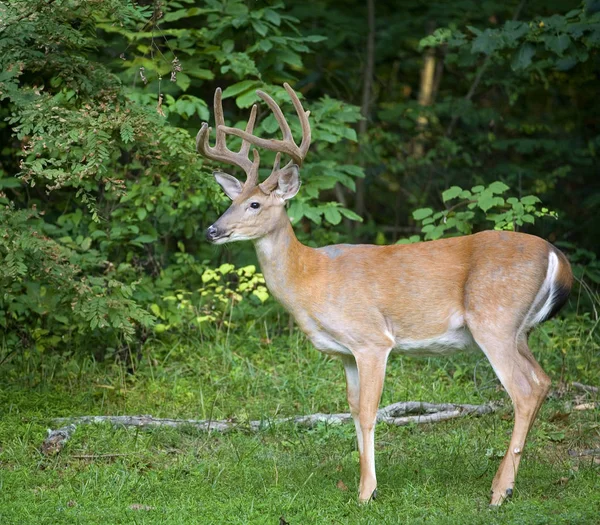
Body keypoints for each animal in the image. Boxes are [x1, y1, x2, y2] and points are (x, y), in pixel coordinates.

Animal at [197, 84, 572, 506]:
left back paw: (499, 491)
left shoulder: (372, 339)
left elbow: (368, 412)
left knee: (523, 390)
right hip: (519, 329)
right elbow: (352, 408)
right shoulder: (345, 353)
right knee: (543, 381)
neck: (310, 278)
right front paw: (364, 483)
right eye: (229, 201)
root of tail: (557, 257)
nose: (212, 230)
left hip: (495, 320)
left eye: (255, 203)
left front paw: (366, 492)